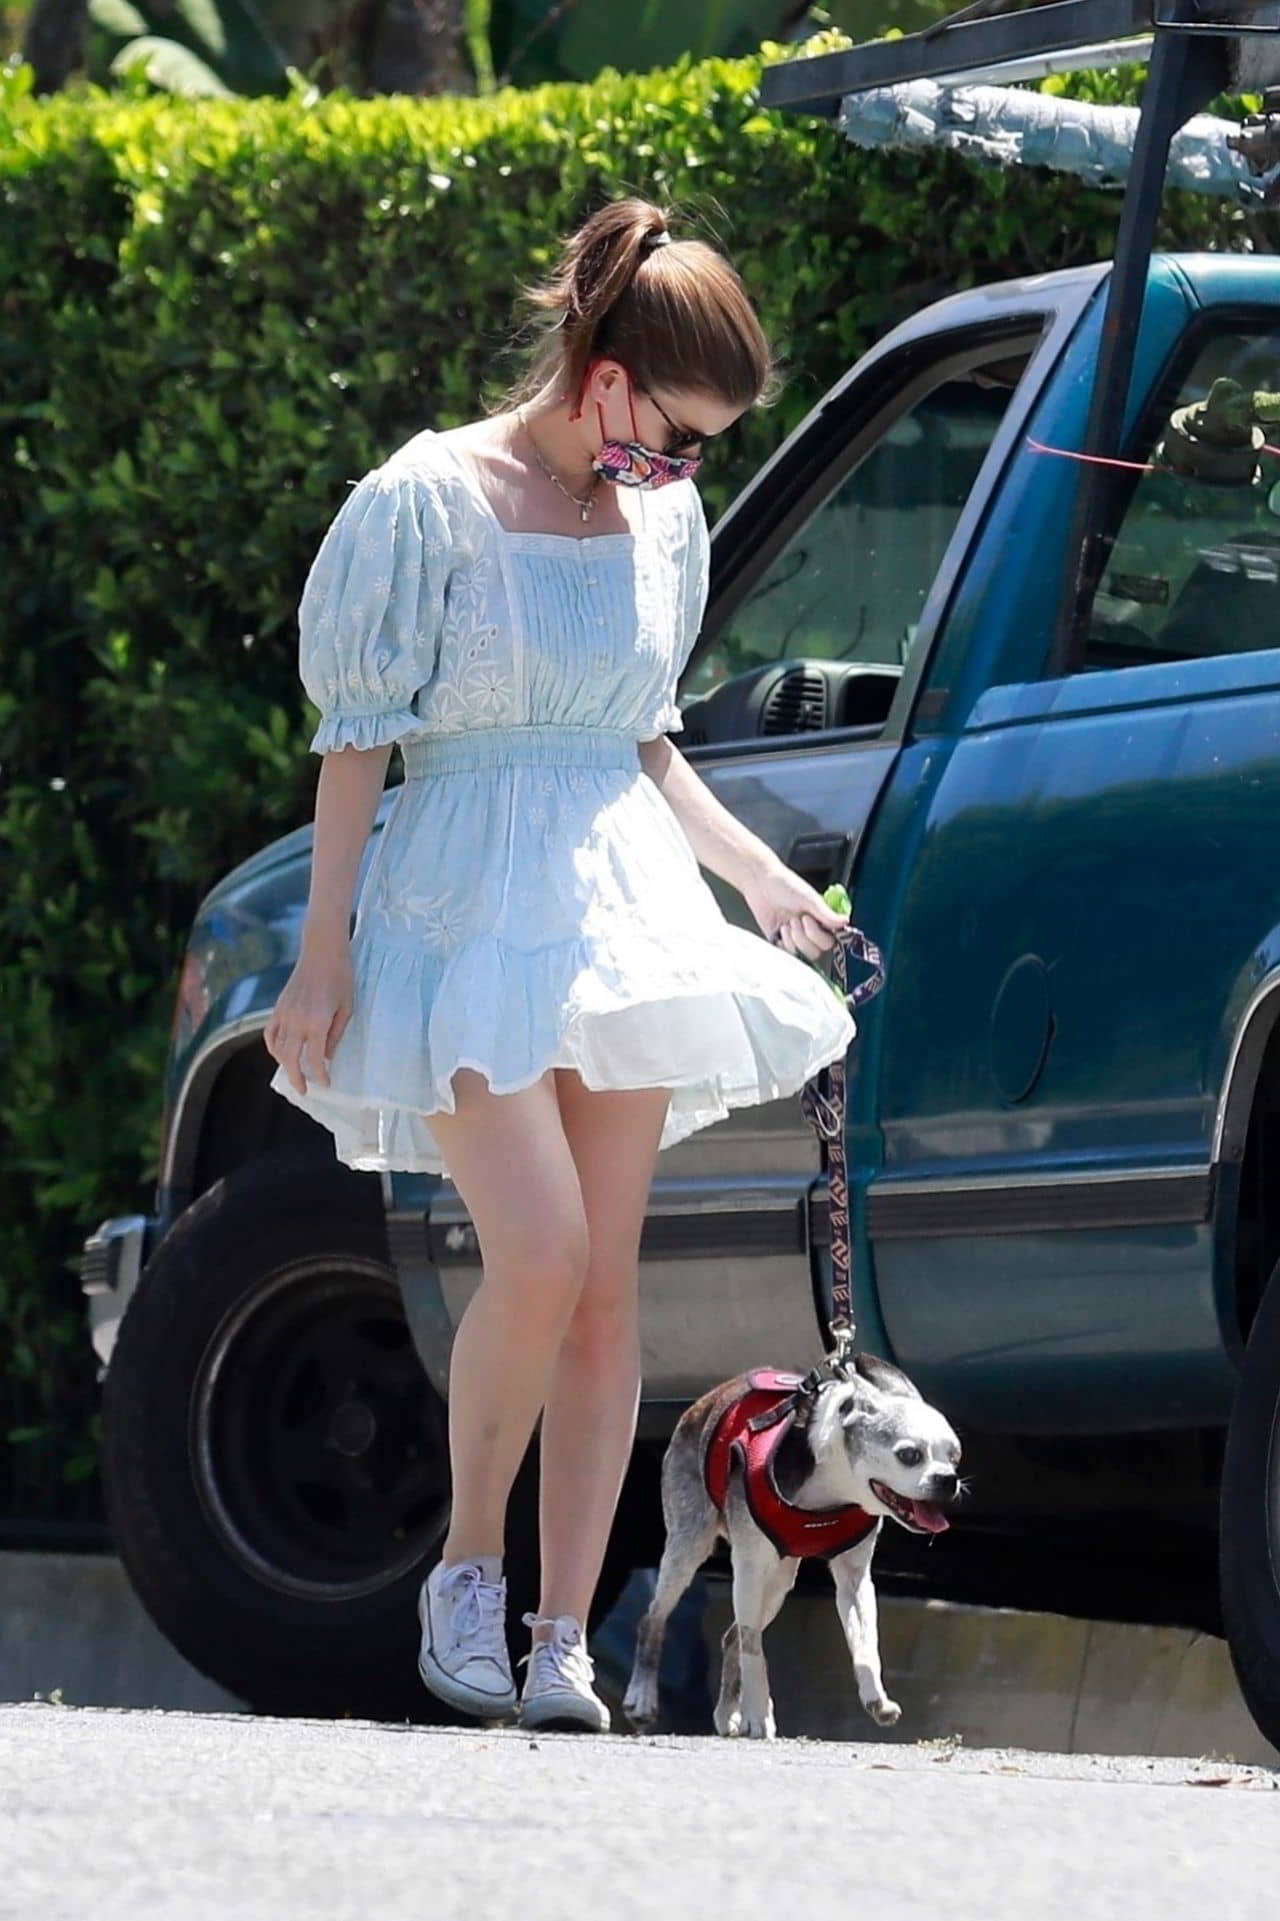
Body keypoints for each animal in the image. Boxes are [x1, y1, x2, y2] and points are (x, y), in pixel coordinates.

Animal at [618, 1352, 957, 1744]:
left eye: (955, 1456)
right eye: (909, 1455)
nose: (947, 1480)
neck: (831, 1491)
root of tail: (703, 1402)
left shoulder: (854, 1580)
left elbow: (865, 1641)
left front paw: (876, 1697)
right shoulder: (749, 1567)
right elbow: (754, 1650)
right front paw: (756, 1715)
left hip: (779, 1582)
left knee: (731, 1637)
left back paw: (726, 1713)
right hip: (689, 1545)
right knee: (655, 1618)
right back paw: (643, 1697)